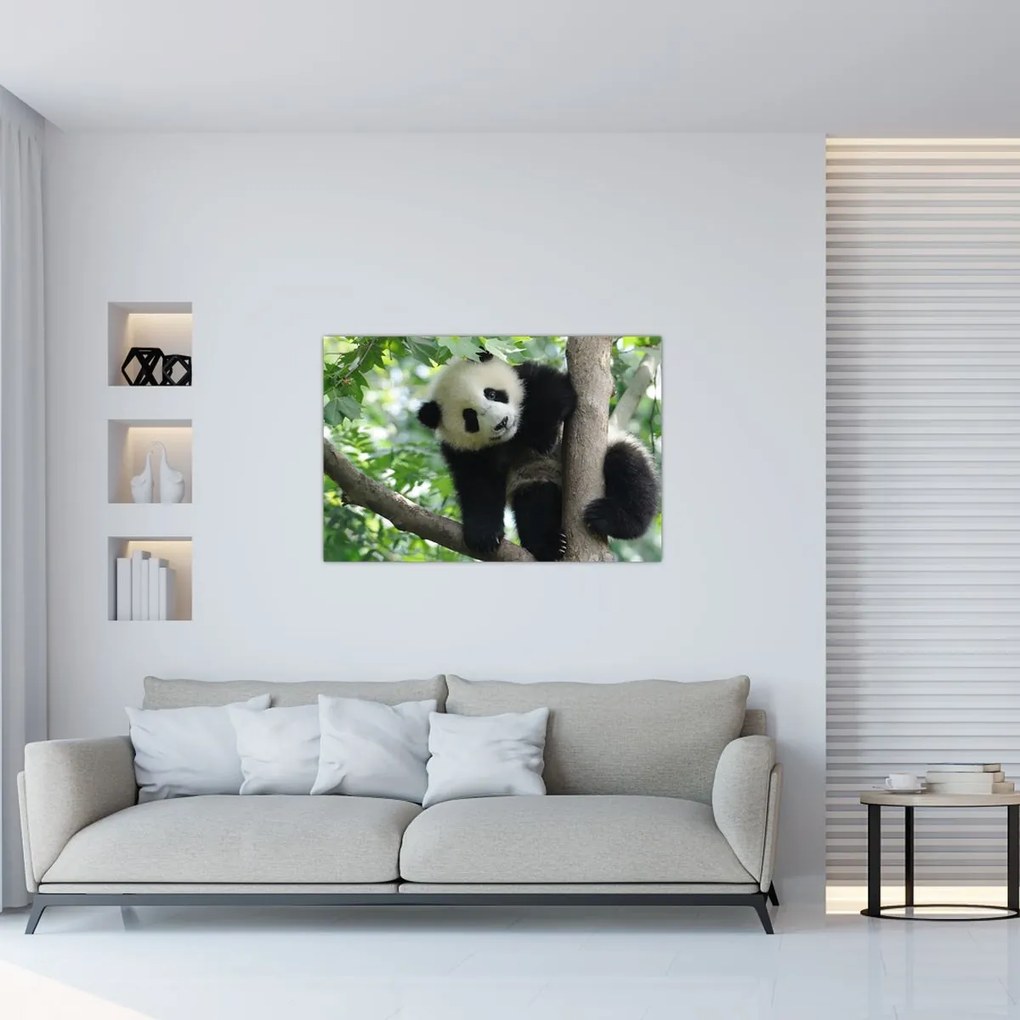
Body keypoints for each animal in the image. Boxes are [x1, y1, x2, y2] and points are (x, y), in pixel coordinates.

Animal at [416, 352, 659, 560]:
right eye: (470, 417)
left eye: (492, 393)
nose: (502, 423)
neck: (512, 438)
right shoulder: (463, 451)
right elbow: (478, 485)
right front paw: (483, 535)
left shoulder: (527, 376)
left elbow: (556, 392)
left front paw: (543, 437)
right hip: (536, 479)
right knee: (535, 504)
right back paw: (550, 546)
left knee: (629, 470)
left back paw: (609, 517)